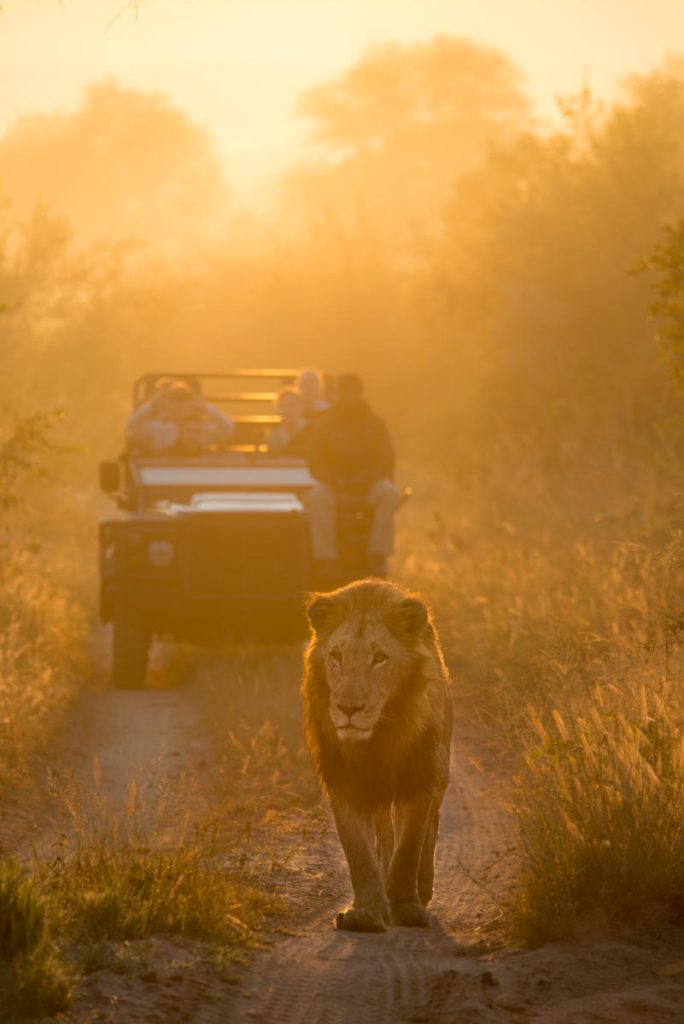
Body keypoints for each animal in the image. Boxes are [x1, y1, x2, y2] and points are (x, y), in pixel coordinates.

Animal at [302, 578, 452, 933]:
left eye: (380, 658)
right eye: (337, 655)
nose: (348, 709)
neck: (377, 741)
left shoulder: (418, 779)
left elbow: (408, 849)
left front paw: (407, 907)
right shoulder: (345, 784)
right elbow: (360, 855)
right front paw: (366, 914)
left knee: (431, 829)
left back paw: (423, 887)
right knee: (385, 837)